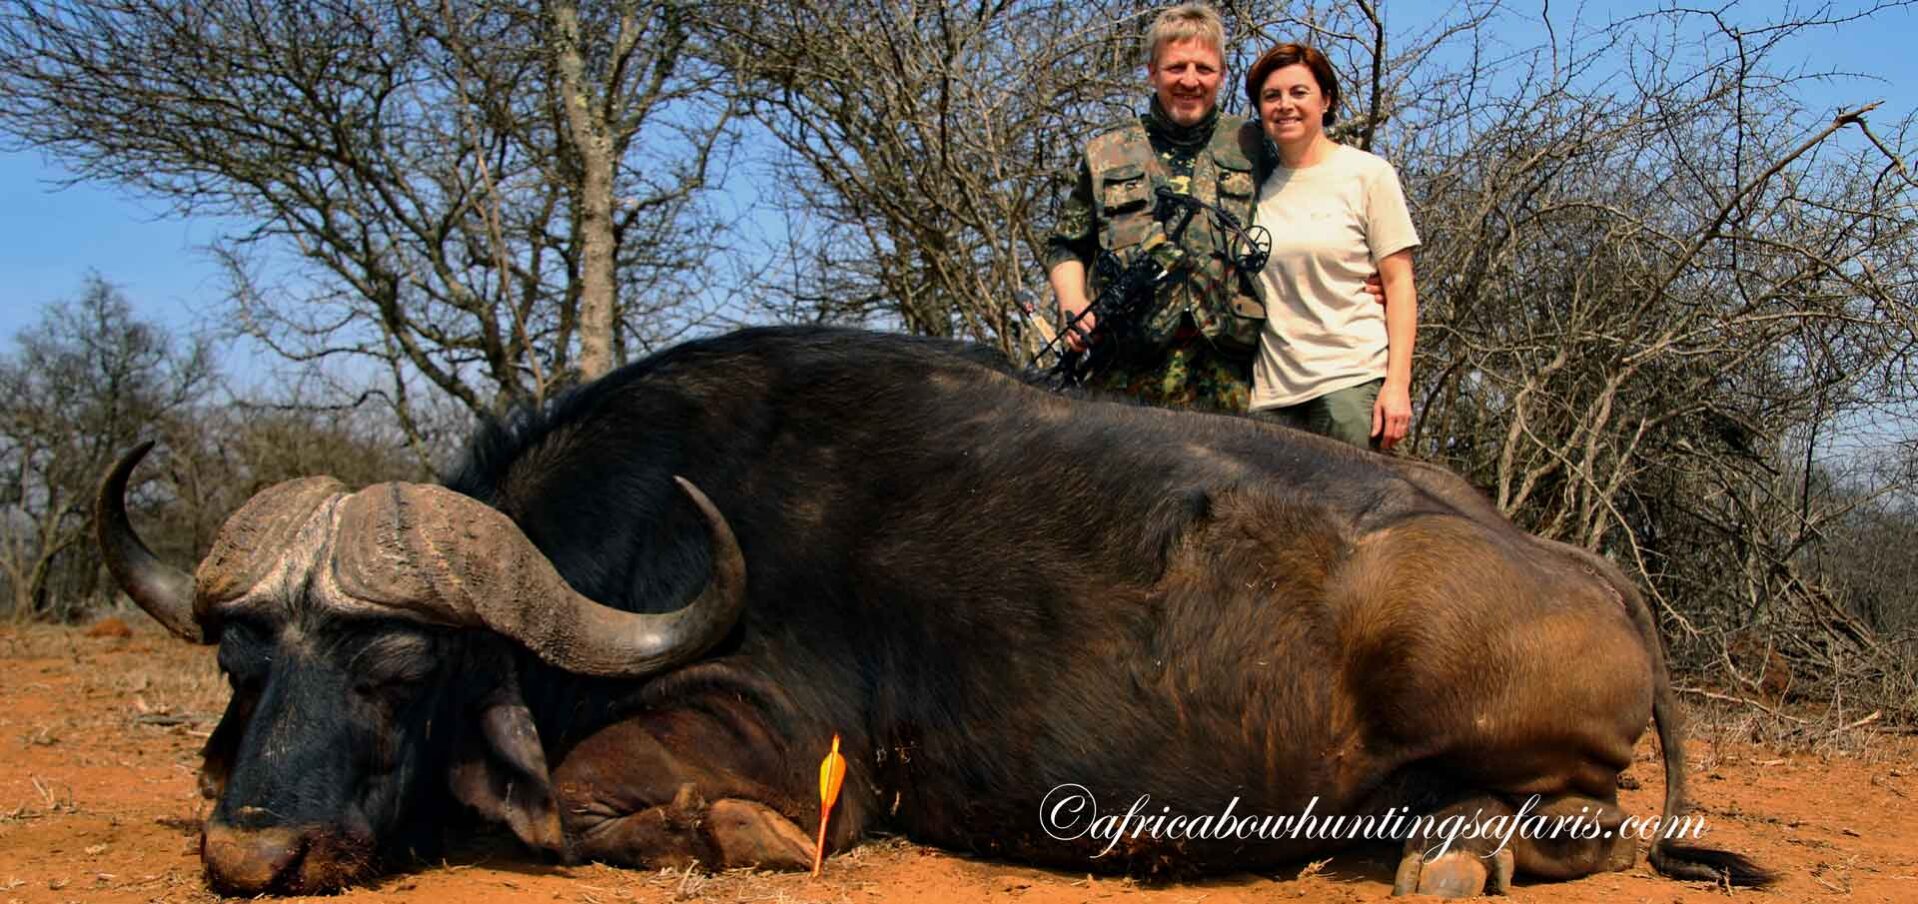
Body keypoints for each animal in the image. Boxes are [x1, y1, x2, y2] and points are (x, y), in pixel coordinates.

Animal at [97, 326, 1770, 896]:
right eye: (246, 662)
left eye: (396, 663)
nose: (250, 852)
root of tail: (1592, 579)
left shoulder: (772, 738)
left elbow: (583, 804)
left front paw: (731, 836)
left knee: (1576, 822)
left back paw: (1447, 858)